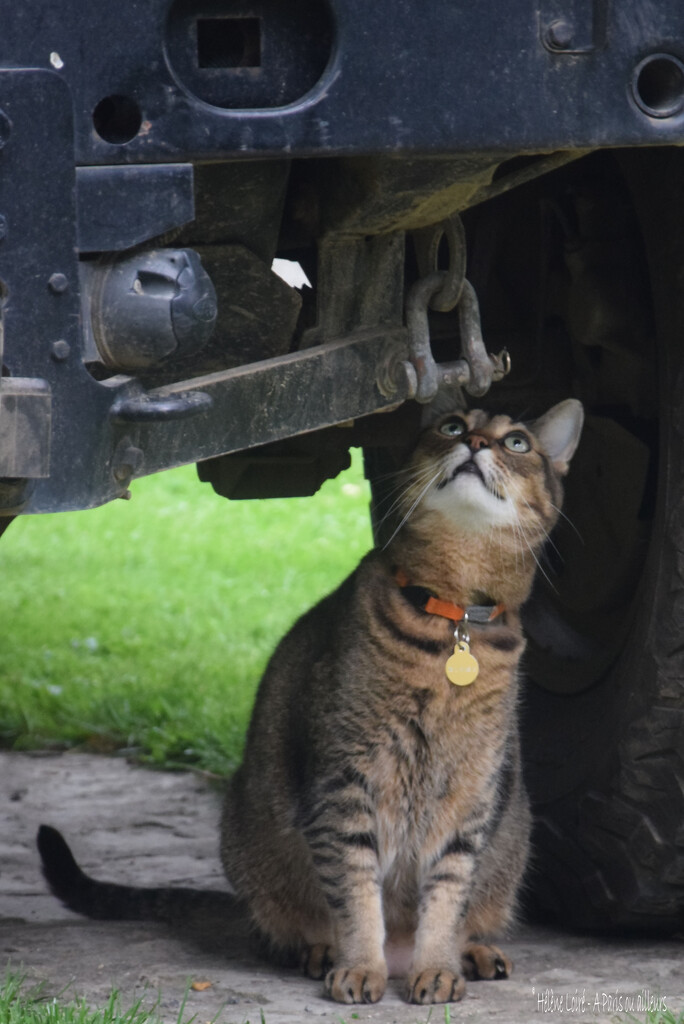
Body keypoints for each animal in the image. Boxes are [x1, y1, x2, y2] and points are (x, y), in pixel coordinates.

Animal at [37, 395, 581, 1003]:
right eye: (451, 426)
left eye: (516, 443)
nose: (477, 443)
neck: (452, 619)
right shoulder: (344, 786)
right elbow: (356, 892)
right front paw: (361, 967)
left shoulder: (469, 800)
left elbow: (446, 898)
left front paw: (438, 966)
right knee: (281, 930)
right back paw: (320, 951)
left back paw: (474, 952)